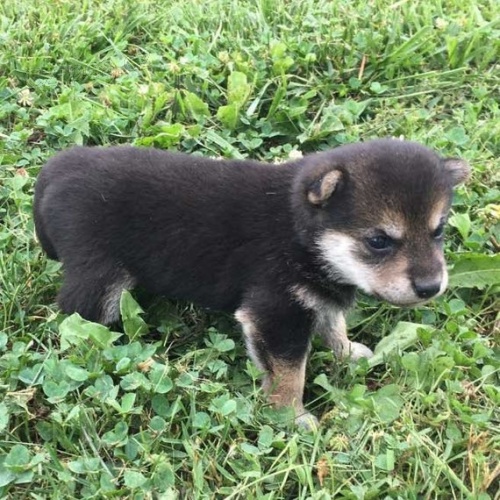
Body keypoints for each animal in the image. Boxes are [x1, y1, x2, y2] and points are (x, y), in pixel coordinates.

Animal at [34, 140, 468, 426]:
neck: (299, 231)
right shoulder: (275, 313)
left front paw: (346, 351)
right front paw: (291, 417)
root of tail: (55, 169)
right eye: (378, 241)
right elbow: (291, 373)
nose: (432, 287)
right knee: (76, 319)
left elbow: (331, 323)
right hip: (99, 278)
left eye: (439, 230)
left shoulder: (312, 298)